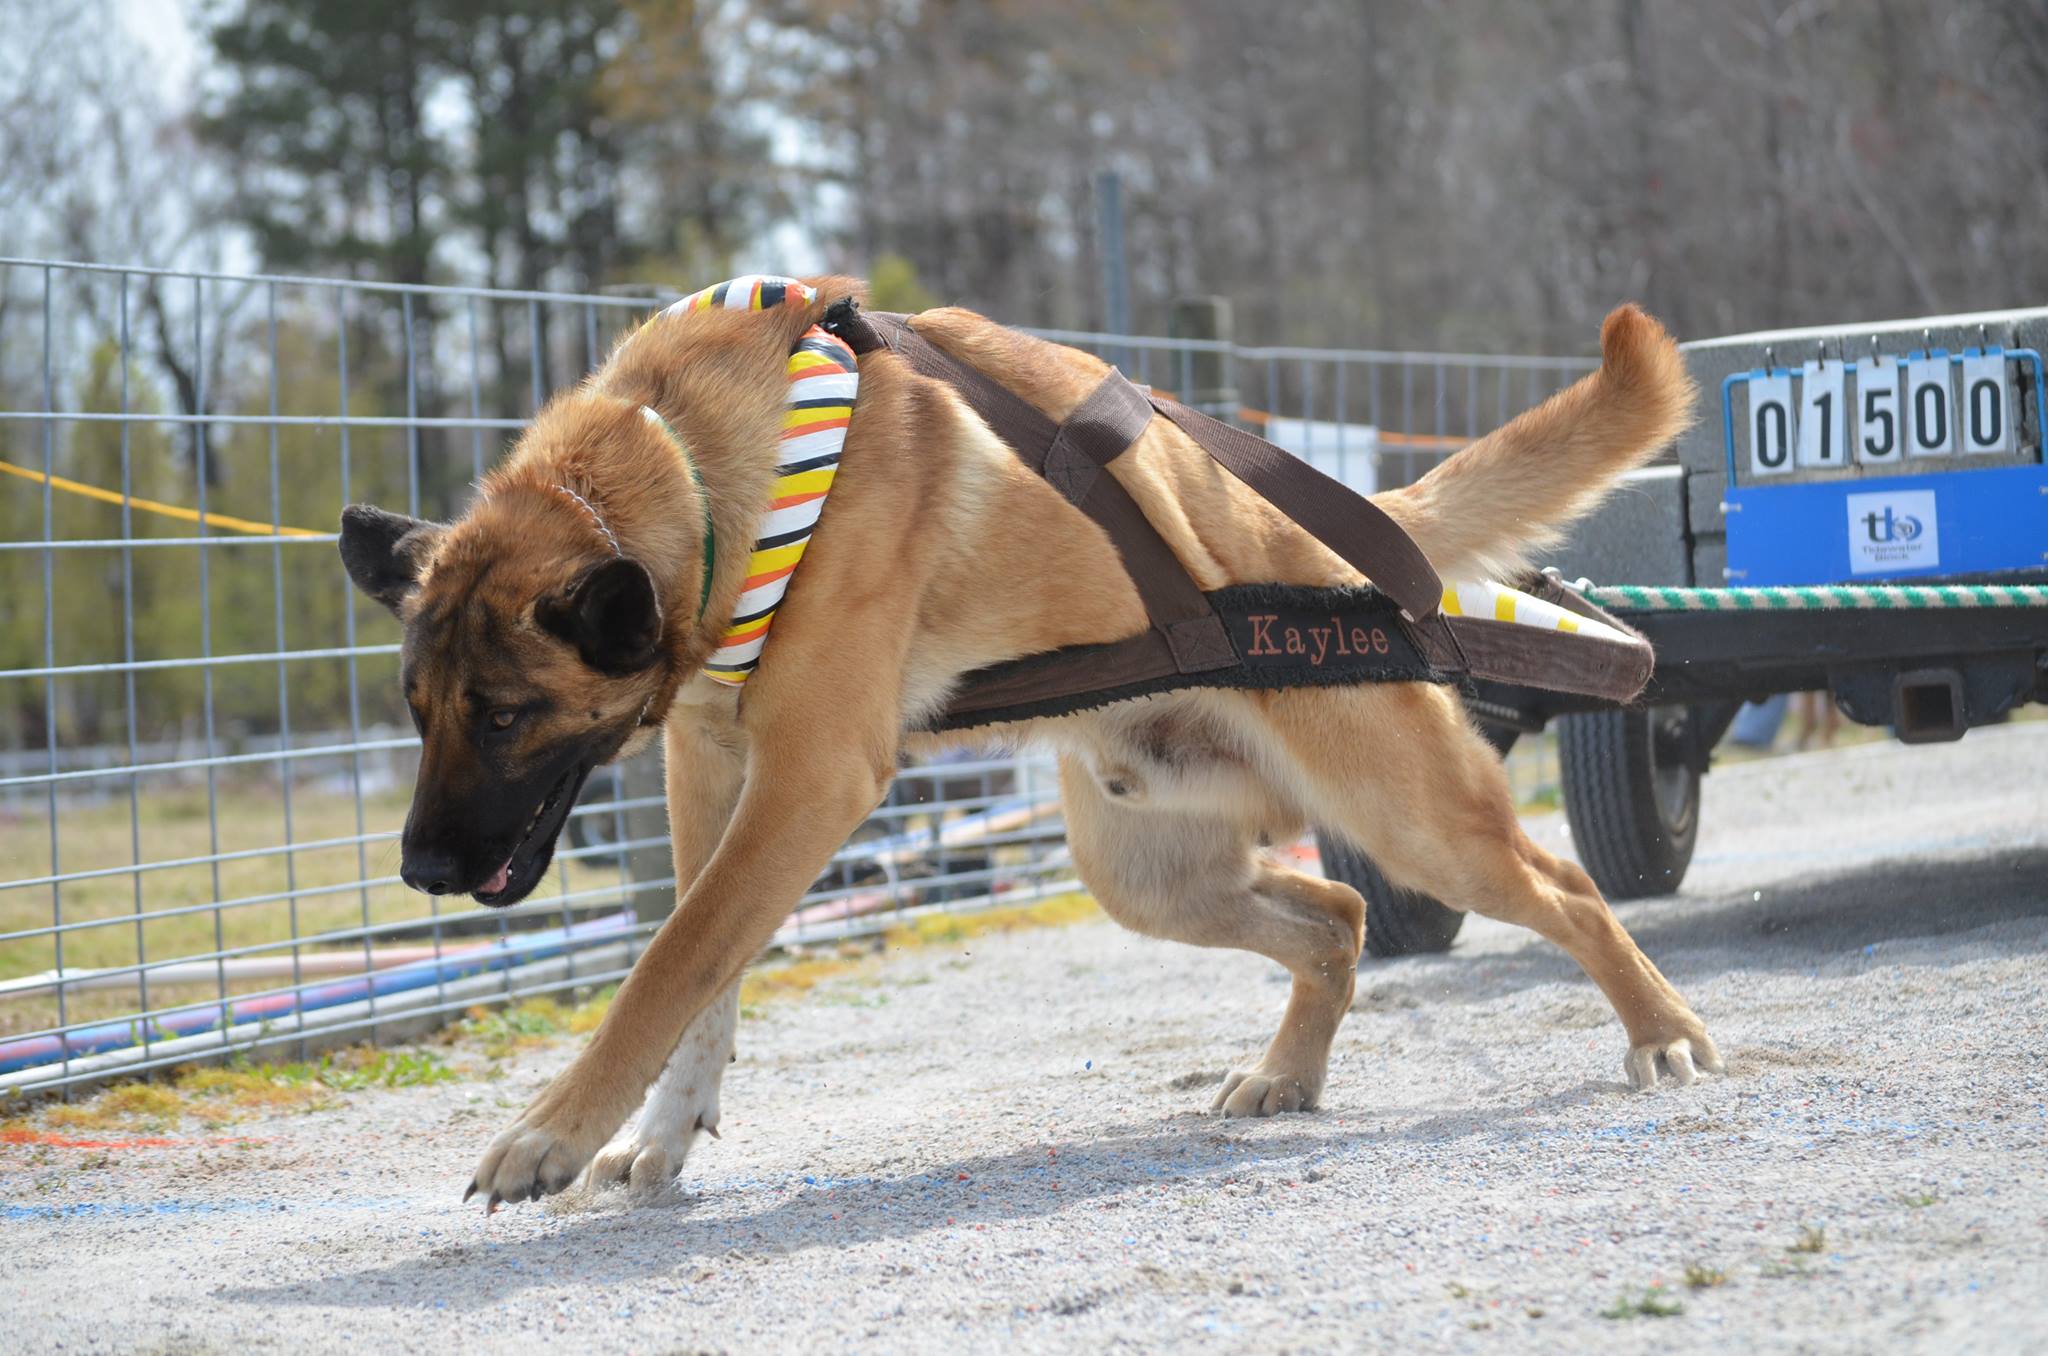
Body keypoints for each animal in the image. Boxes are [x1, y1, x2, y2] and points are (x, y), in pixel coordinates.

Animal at [339, 278, 1712, 1212]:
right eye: (415, 710)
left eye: (504, 716)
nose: (418, 872)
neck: (684, 455)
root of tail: (1330, 536)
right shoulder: (710, 773)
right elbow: (700, 975)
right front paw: (661, 1135)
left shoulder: (802, 785)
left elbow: (665, 969)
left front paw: (554, 1131)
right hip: (1144, 870)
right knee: (1336, 914)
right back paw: (1288, 1071)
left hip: (1409, 816)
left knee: (1562, 885)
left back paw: (1659, 1031)